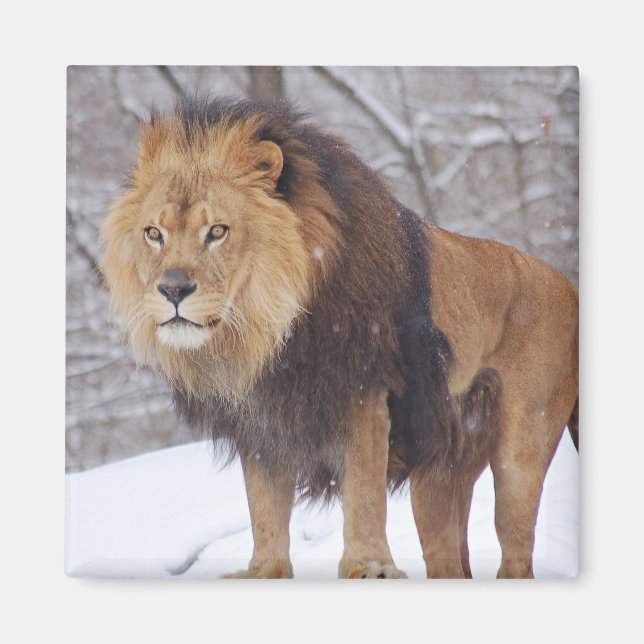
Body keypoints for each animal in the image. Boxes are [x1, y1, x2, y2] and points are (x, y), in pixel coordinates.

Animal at [101, 96, 578, 579]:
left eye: (217, 231)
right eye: (153, 234)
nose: (172, 290)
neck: (268, 332)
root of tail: (568, 285)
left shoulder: (364, 394)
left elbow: (364, 492)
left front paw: (369, 567)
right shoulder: (261, 419)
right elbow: (264, 507)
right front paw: (264, 571)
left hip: (521, 451)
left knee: (516, 553)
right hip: (438, 475)